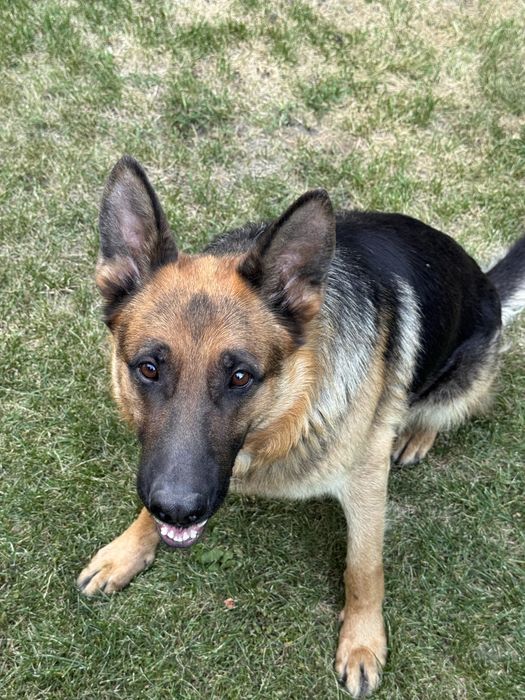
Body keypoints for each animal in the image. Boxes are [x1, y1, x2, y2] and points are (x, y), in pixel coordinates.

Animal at [78, 156, 525, 697]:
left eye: (240, 376)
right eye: (148, 369)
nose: (179, 510)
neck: (288, 415)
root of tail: (486, 281)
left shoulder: (366, 481)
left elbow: (364, 568)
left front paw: (362, 641)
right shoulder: (166, 470)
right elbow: (148, 499)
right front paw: (127, 550)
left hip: (460, 382)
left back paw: (416, 433)